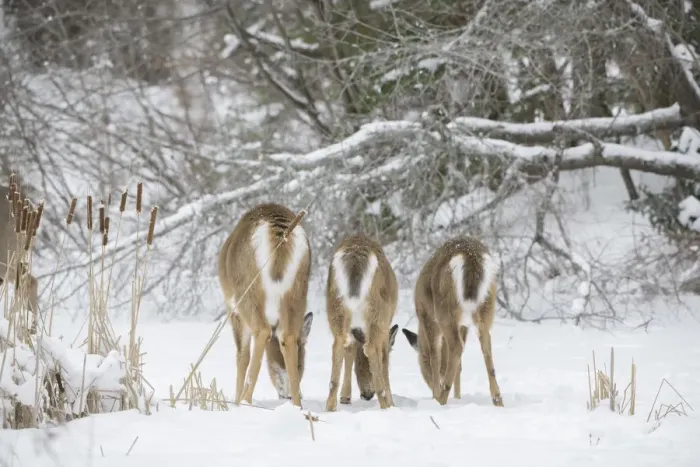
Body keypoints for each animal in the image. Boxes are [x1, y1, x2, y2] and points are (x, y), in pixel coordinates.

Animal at [218, 203, 313, 407]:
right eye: (302, 365)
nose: (285, 393)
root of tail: (281, 234)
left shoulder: (233, 310)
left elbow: (242, 355)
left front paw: (236, 401)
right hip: (298, 293)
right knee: (288, 337)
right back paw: (297, 406)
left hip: (248, 292)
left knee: (261, 332)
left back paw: (245, 401)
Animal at [324, 234, 398, 411]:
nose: (367, 394)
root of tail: (355, 257)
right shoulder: (385, 328)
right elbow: (384, 359)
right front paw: (392, 403)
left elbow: (350, 352)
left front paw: (345, 397)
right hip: (378, 313)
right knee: (370, 348)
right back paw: (384, 403)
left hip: (335, 308)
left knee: (338, 345)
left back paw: (330, 406)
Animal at [401, 236, 504, 407]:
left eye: (422, 365)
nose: (430, 386)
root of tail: (470, 255)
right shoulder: (463, 324)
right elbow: (458, 365)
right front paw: (457, 397)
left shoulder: (426, 315)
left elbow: (435, 355)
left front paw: (436, 395)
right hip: (486, 308)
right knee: (485, 346)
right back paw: (498, 400)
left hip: (444, 309)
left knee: (456, 346)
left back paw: (442, 398)